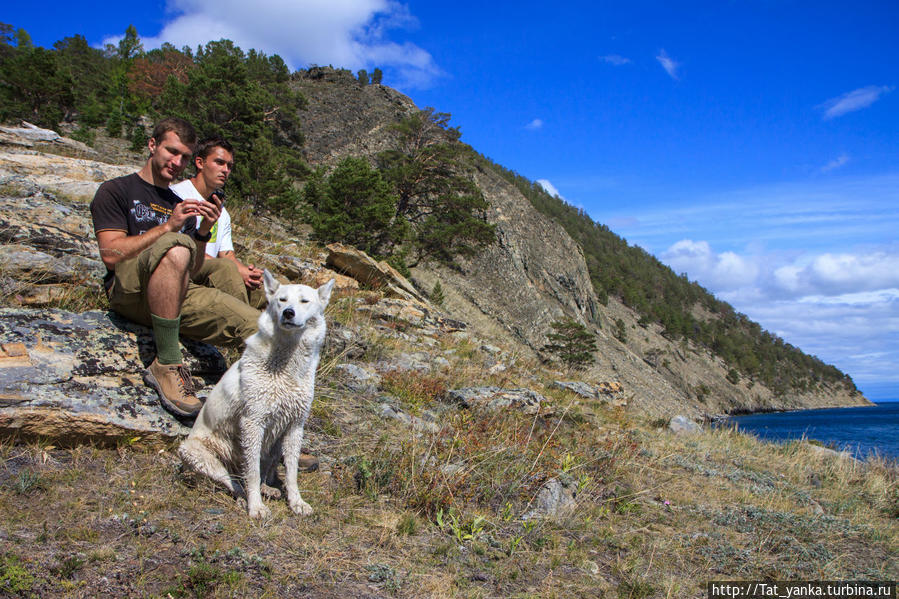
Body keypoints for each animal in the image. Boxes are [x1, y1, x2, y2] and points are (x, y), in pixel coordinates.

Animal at [179, 272, 334, 520]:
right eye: (282, 300)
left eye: (304, 301)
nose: (288, 313)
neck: (286, 365)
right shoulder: (253, 423)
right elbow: (251, 472)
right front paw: (256, 507)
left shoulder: (294, 426)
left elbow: (291, 473)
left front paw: (297, 502)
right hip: (196, 454)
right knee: (234, 480)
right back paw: (245, 499)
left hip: (271, 447)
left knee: (258, 473)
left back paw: (267, 489)